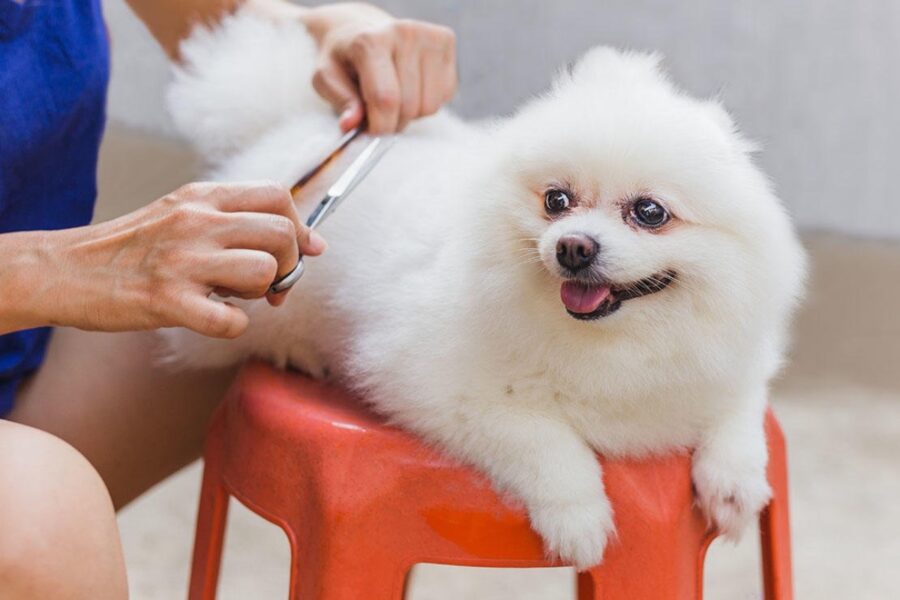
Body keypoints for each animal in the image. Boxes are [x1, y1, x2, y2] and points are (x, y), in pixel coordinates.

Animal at [163, 11, 808, 568]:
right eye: (556, 200)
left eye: (650, 212)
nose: (573, 246)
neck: (618, 344)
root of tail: (292, 124)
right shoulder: (436, 387)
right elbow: (545, 440)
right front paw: (580, 520)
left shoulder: (728, 360)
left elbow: (740, 410)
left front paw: (735, 487)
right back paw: (293, 351)